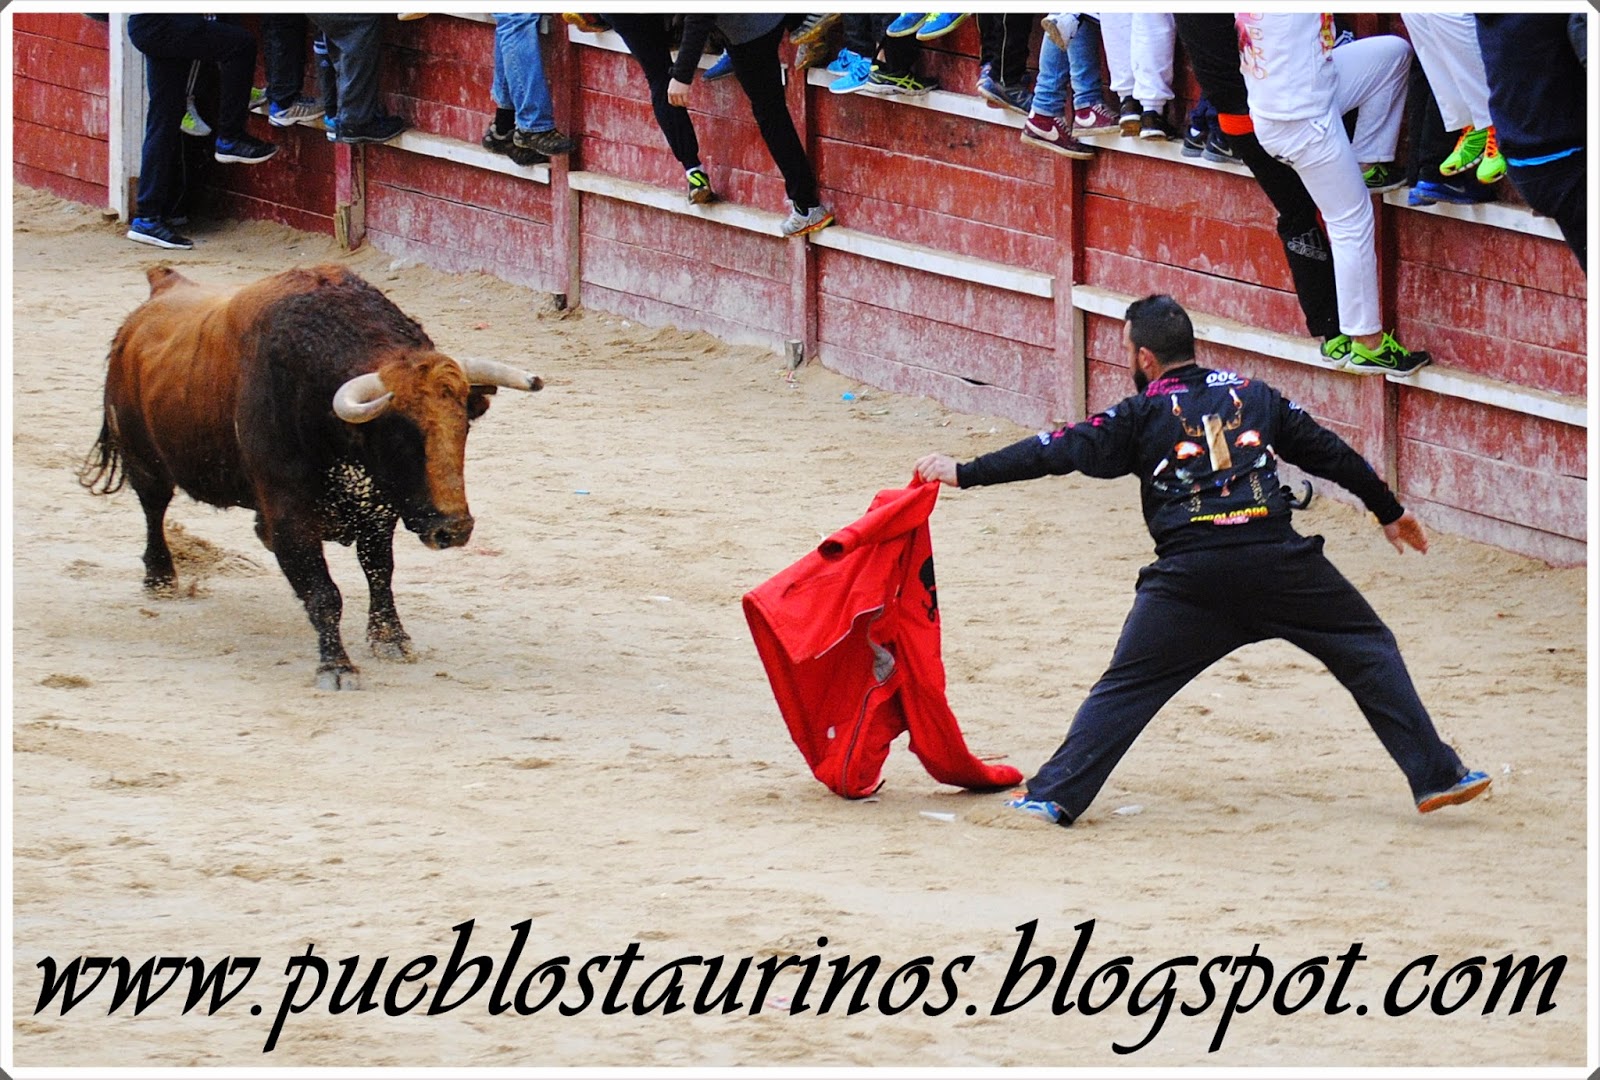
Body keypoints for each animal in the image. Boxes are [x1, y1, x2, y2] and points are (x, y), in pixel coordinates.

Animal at [78, 263, 543, 690]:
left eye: (463, 426)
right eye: (399, 434)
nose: (454, 529)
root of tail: (160, 289)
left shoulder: (377, 510)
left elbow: (380, 571)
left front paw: (390, 638)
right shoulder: (290, 515)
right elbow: (323, 593)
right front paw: (336, 666)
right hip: (145, 461)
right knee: (153, 509)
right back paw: (159, 577)